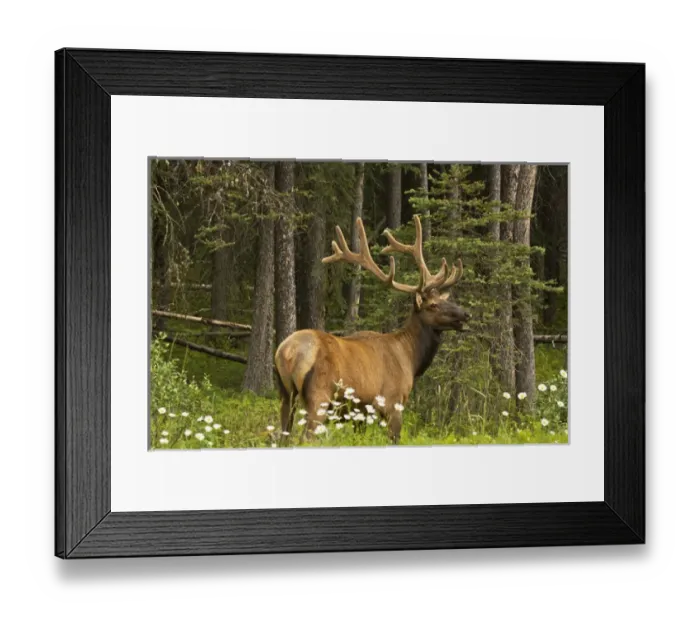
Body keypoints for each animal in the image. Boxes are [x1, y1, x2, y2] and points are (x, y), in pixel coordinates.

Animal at [274, 214, 468, 444]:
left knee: (283, 436)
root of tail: (287, 352)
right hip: (319, 396)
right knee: (306, 438)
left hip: (285, 395)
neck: (410, 358)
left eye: (445, 300)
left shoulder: (362, 413)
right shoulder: (393, 403)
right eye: (433, 305)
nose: (465, 314)